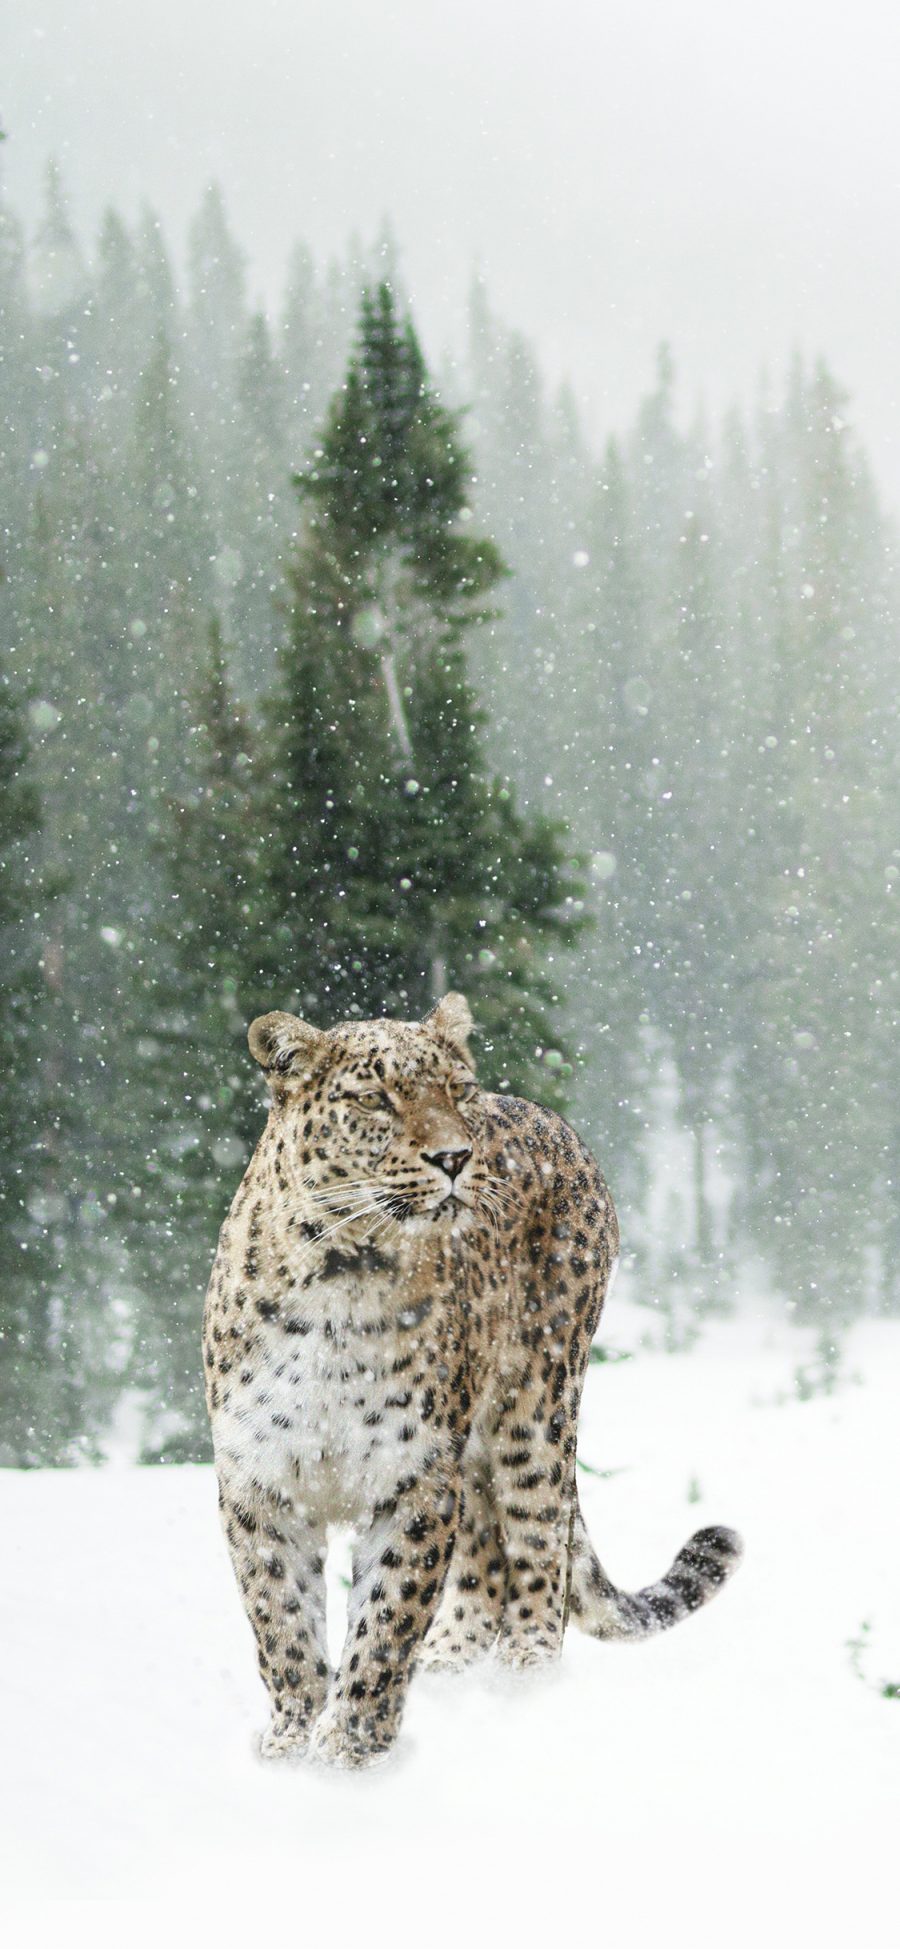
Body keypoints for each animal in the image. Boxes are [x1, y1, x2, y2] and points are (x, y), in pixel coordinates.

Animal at [203, 990, 744, 1769]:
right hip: (479, 1449)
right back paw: (452, 1668)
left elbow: (387, 1618)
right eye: (374, 1099)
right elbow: (282, 1622)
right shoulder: (261, 1478)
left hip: (537, 1407)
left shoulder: (415, 1477)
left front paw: (350, 1751)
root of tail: (554, 1120)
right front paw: (291, 1743)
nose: (455, 1156)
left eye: (456, 1091)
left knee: (538, 1545)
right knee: (487, 1554)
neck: (342, 1276)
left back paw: (522, 1681)